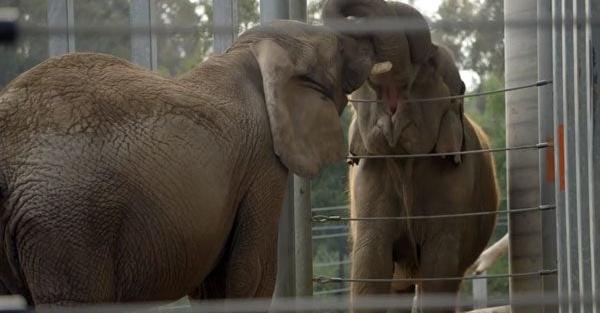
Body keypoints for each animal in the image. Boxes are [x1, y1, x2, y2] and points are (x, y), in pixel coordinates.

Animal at [322, 1, 500, 310]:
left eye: (428, 63)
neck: (404, 162)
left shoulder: (456, 185)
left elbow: (440, 267)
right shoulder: (367, 178)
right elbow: (370, 262)